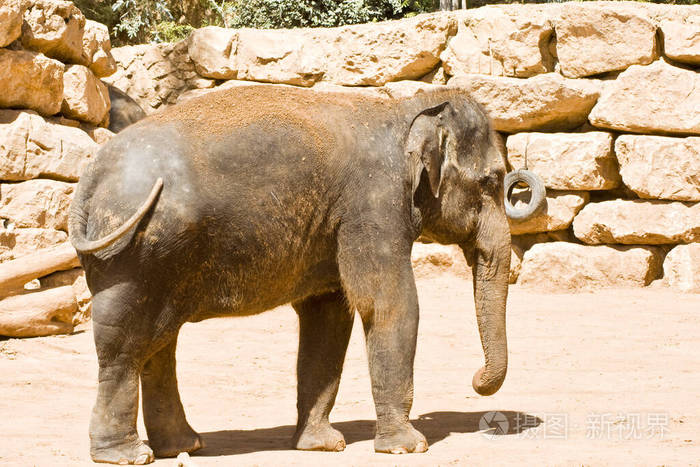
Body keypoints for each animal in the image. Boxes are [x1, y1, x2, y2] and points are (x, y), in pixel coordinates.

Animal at [68, 84, 532, 464]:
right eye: (491, 182)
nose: (476, 381)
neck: (404, 110)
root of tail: (90, 175)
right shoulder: (372, 205)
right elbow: (389, 304)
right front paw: (408, 446)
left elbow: (328, 318)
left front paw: (322, 445)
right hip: (127, 254)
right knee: (124, 344)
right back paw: (126, 455)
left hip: (152, 256)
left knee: (160, 341)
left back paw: (184, 446)